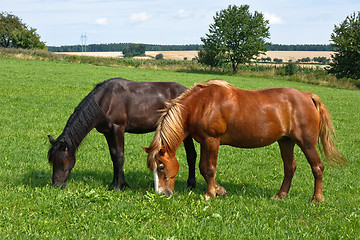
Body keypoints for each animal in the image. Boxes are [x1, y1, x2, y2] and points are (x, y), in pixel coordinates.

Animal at [48, 78, 197, 190]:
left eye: (62, 162)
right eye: (52, 162)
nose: (56, 185)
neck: (104, 100)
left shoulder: (118, 129)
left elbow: (120, 156)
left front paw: (120, 186)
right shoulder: (108, 132)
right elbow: (114, 156)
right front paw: (114, 183)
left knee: (191, 155)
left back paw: (191, 184)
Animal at [145, 79, 348, 202]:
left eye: (161, 167)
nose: (161, 193)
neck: (201, 105)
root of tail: (307, 96)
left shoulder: (212, 140)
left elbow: (209, 168)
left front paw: (210, 194)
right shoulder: (204, 142)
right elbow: (203, 168)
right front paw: (220, 190)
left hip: (306, 143)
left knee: (317, 167)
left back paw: (317, 198)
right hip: (286, 141)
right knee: (290, 168)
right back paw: (280, 195)